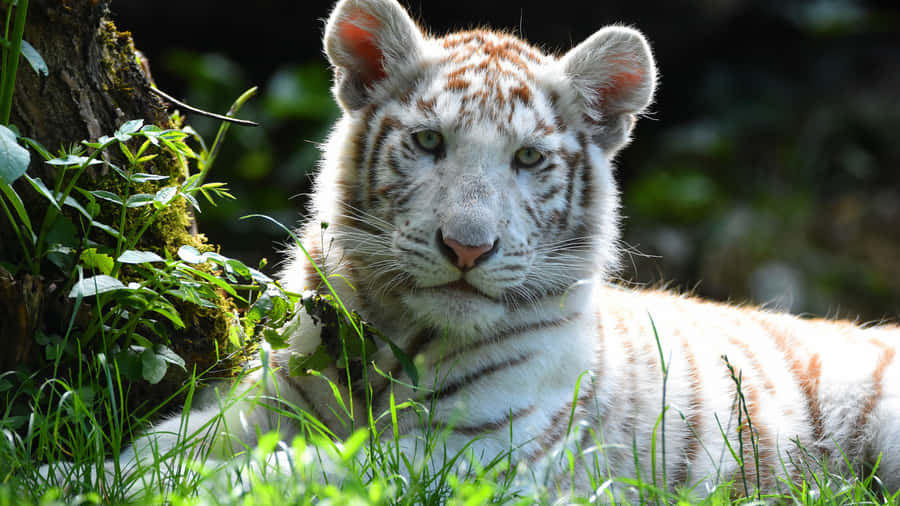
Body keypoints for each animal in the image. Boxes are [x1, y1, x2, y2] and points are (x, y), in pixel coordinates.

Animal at [55, 0, 900, 500]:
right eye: (430, 143)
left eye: (528, 159)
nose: (467, 248)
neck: (394, 341)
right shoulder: (259, 403)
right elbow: (161, 449)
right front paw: (66, 471)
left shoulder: (469, 457)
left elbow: (294, 472)